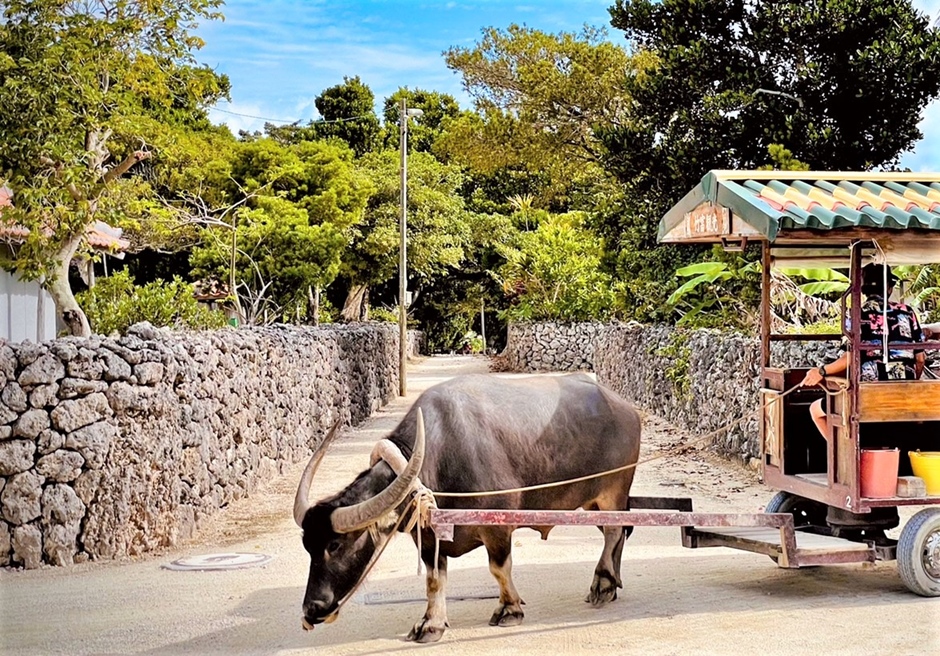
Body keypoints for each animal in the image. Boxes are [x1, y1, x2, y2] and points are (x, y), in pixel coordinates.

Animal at [294, 374, 644, 640]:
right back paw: (613, 584)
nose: (312, 609)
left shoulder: (498, 526)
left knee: (613, 531)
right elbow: (434, 580)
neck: (439, 456)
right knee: (620, 531)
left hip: (614, 489)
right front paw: (431, 624)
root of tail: (625, 409)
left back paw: (602, 583)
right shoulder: (429, 537)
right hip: (596, 501)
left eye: (335, 545)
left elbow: (499, 568)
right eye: (307, 547)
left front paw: (509, 609)